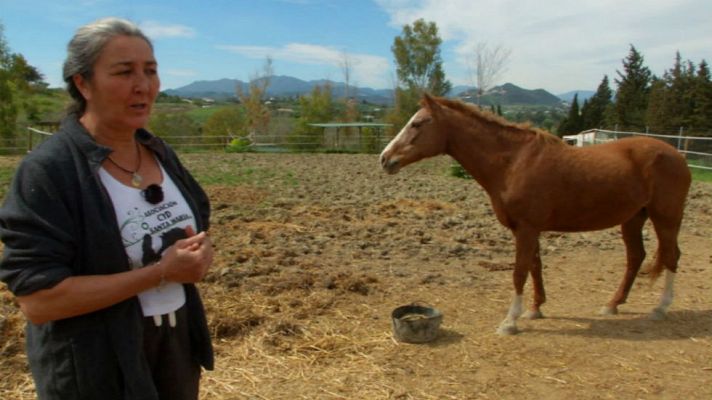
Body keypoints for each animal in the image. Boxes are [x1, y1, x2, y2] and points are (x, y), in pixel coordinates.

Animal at [379, 94, 691, 335]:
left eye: (417, 123)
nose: (385, 159)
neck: (514, 162)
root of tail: (676, 154)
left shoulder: (527, 228)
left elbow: (519, 271)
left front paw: (510, 321)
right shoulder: (529, 229)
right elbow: (535, 266)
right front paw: (535, 309)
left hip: (666, 217)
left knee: (671, 256)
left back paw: (660, 307)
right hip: (633, 218)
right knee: (636, 257)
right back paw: (613, 304)